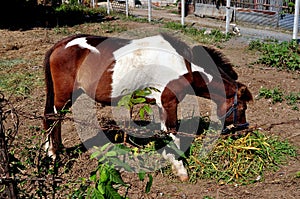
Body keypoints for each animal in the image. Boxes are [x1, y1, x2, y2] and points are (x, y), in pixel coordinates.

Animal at [42, 33, 253, 182]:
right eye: (242, 108)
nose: (243, 131)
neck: (185, 66)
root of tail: (60, 45)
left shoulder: (160, 104)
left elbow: (165, 133)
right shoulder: (169, 103)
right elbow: (173, 133)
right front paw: (180, 169)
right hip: (63, 98)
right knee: (52, 120)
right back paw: (53, 154)